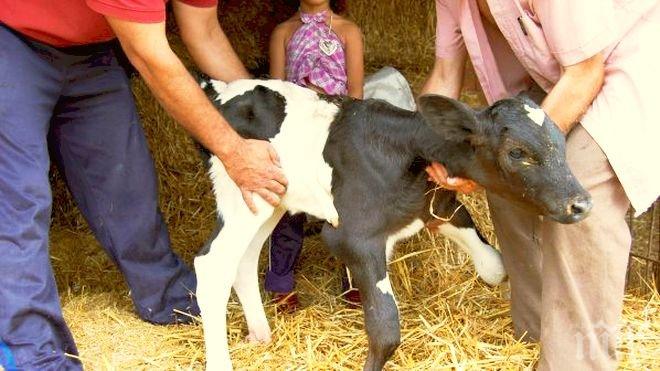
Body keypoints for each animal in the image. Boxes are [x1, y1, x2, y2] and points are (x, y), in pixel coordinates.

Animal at [193, 77, 592, 370]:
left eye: (560, 140)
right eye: (517, 152)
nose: (581, 203)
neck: (406, 151)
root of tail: (221, 89)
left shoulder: (440, 208)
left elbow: (494, 267)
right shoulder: (353, 237)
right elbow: (385, 329)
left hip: (269, 199)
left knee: (242, 262)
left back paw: (260, 335)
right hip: (243, 194)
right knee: (212, 264)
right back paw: (222, 361)